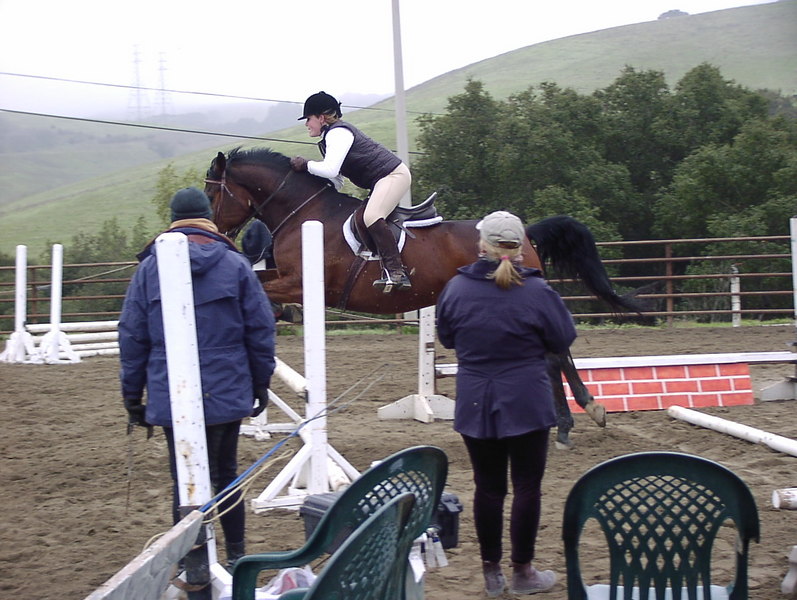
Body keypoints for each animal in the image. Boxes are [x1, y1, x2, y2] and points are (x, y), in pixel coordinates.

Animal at [203, 147, 643, 447]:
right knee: (554, 354)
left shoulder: (301, 280)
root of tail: (525, 235)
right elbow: (259, 279)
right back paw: (576, 415)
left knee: (553, 356)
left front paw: (283, 312)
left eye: (212, 194)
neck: (302, 212)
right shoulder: (288, 276)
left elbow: (266, 288)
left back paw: (575, 419)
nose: (214, 230)